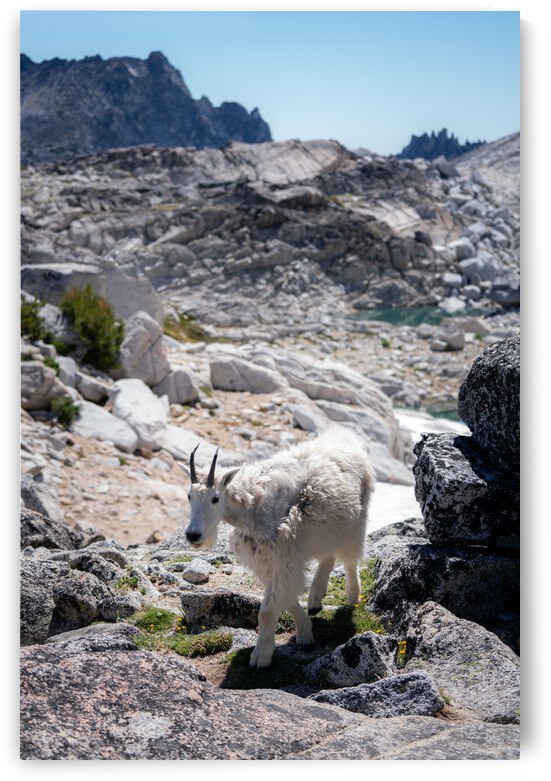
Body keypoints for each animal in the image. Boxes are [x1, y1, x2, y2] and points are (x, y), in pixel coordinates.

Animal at [179, 426, 376, 668]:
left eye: (215, 498)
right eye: (189, 496)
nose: (193, 535)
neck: (252, 506)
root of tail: (347, 437)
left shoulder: (282, 556)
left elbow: (267, 610)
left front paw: (260, 657)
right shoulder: (268, 560)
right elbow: (287, 599)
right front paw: (305, 634)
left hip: (357, 520)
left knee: (349, 559)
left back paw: (352, 596)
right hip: (329, 527)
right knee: (328, 556)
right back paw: (315, 599)